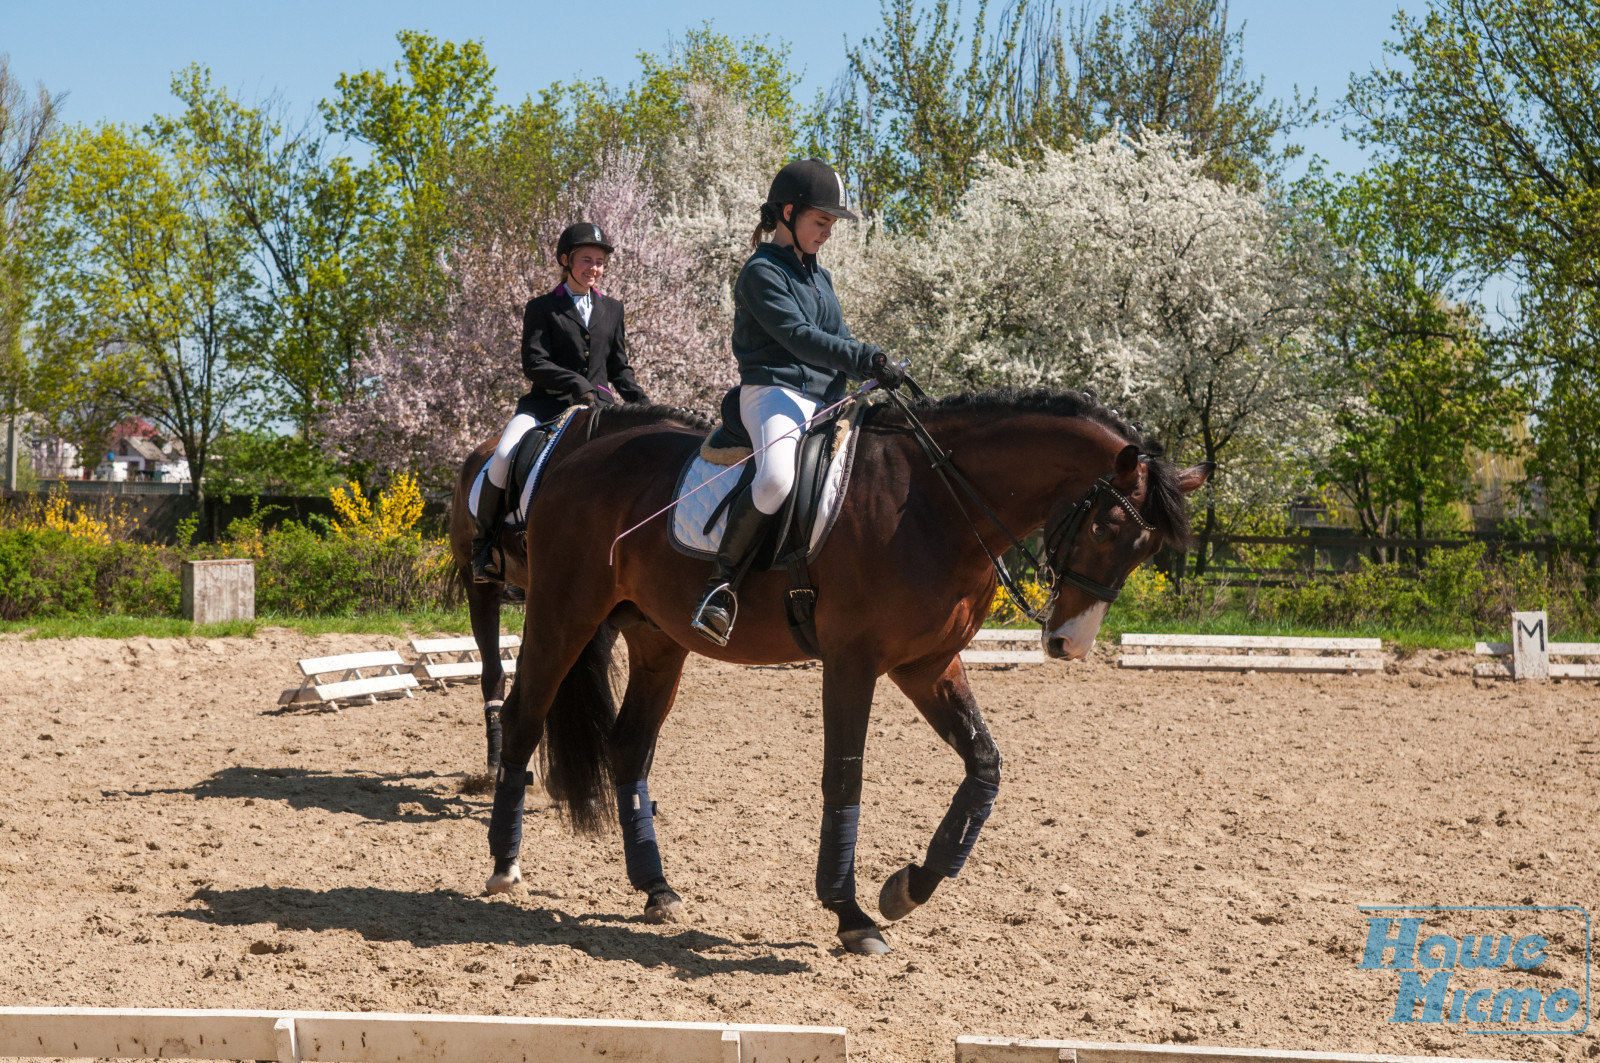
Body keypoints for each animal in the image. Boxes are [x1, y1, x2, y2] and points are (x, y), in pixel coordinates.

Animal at [476, 390, 1209, 954]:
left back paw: (656, 889)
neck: (939, 501)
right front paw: (851, 914)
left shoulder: (926, 663)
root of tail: (575, 450)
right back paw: (505, 866)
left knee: (629, 746)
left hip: (658, 638)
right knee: (523, 715)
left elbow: (984, 764)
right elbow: (845, 777)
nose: (1067, 643)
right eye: (1107, 525)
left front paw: (908, 887)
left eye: (1145, 549)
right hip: (564, 613)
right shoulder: (854, 663)